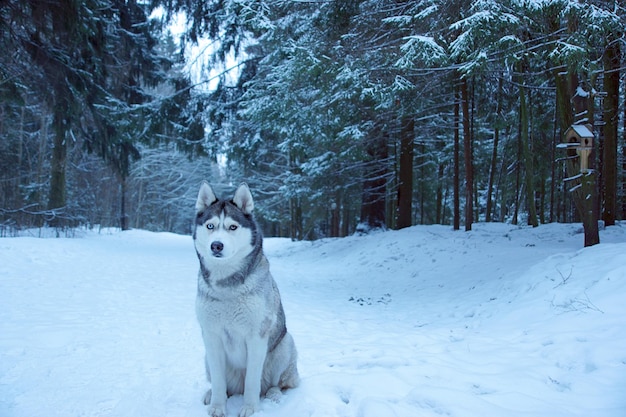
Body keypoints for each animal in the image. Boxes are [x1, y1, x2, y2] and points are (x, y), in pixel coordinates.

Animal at [193, 182, 298, 416]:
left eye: (232, 227)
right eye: (211, 226)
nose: (216, 245)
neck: (227, 286)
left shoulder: (256, 337)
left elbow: (252, 381)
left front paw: (250, 408)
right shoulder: (211, 336)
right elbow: (219, 382)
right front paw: (217, 407)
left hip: (285, 345)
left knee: (278, 384)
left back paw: (274, 394)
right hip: (206, 358)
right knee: (224, 385)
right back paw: (211, 394)